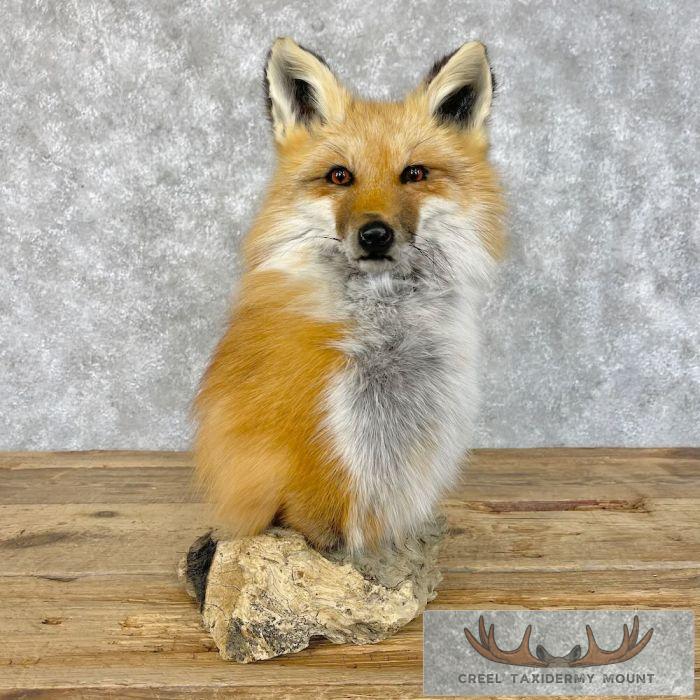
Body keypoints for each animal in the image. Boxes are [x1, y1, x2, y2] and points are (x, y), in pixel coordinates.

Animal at [194, 37, 505, 553]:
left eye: (414, 173)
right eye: (340, 176)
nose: (374, 235)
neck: (384, 320)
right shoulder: (324, 427)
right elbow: (319, 513)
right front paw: (335, 555)